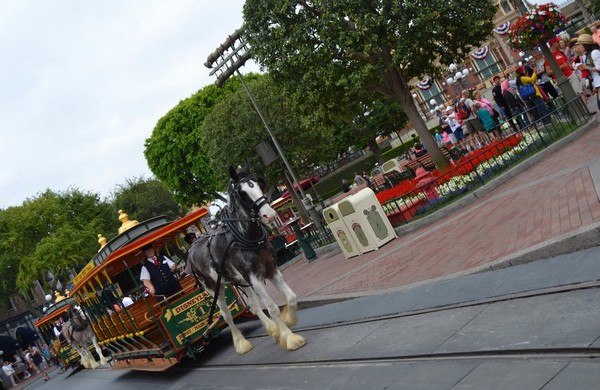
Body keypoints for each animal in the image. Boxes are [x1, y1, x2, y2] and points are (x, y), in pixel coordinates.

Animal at [189, 163, 308, 354]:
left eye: (259, 185)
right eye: (242, 193)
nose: (270, 215)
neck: (248, 238)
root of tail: (191, 249)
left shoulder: (271, 270)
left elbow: (291, 296)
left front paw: (288, 321)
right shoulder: (255, 278)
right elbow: (272, 308)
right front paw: (290, 338)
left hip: (241, 281)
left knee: (253, 305)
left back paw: (272, 330)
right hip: (215, 287)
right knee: (226, 315)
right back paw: (241, 343)